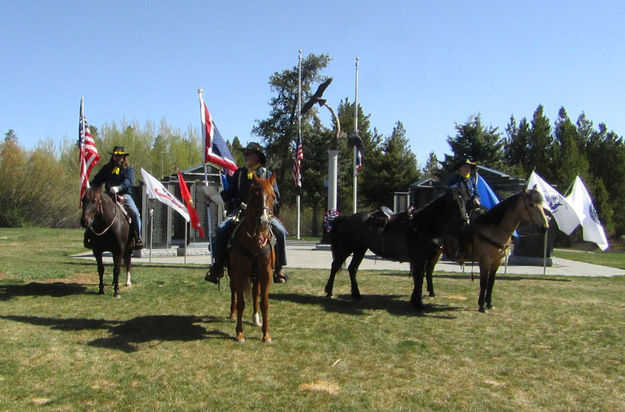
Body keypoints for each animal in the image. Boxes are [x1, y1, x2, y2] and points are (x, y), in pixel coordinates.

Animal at [227, 173, 276, 342]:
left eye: (273, 196)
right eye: (255, 195)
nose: (264, 221)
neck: (254, 242)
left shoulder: (266, 275)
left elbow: (264, 303)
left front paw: (266, 334)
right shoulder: (239, 274)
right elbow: (241, 303)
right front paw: (239, 333)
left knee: (255, 293)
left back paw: (256, 319)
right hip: (232, 274)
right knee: (234, 291)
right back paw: (232, 314)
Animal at [324, 187, 466, 308]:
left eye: (465, 200)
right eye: (453, 202)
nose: (465, 219)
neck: (422, 225)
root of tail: (346, 219)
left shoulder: (425, 259)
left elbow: (421, 276)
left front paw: (416, 299)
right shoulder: (419, 259)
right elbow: (419, 277)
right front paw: (417, 303)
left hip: (360, 249)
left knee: (352, 269)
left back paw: (356, 294)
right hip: (346, 248)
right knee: (335, 265)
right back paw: (329, 291)